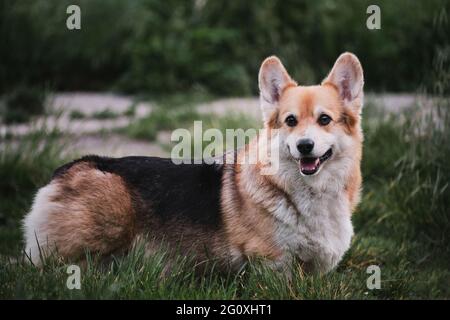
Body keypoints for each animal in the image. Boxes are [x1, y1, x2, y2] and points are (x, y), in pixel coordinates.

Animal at [22, 52, 364, 272]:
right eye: (290, 121)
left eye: (324, 119)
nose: (305, 147)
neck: (307, 192)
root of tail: (63, 172)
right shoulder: (272, 264)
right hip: (112, 204)